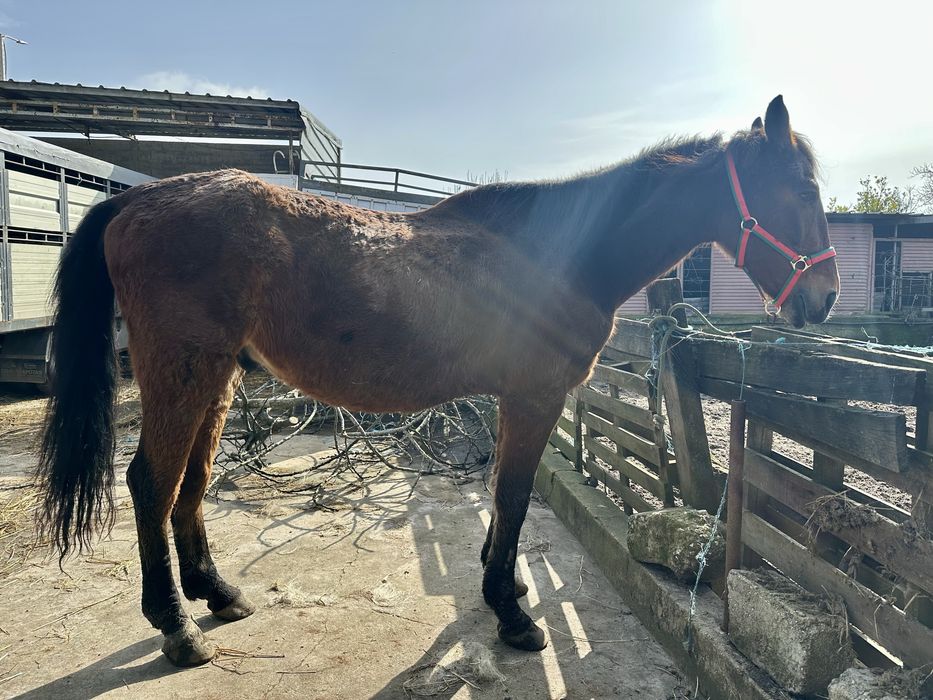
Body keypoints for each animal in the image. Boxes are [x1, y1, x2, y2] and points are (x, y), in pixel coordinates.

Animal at [36, 95, 839, 667]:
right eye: (800, 193)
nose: (823, 299)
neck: (562, 252)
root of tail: (135, 200)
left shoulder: (515, 399)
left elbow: (502, 494)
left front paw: (503, 583)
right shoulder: (534, 397)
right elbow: (512, 496)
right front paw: (511, 615)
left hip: (215, 377)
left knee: (190, 484)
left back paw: (218, 594)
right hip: (184, 370)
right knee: (150, 483)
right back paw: (176, 628)